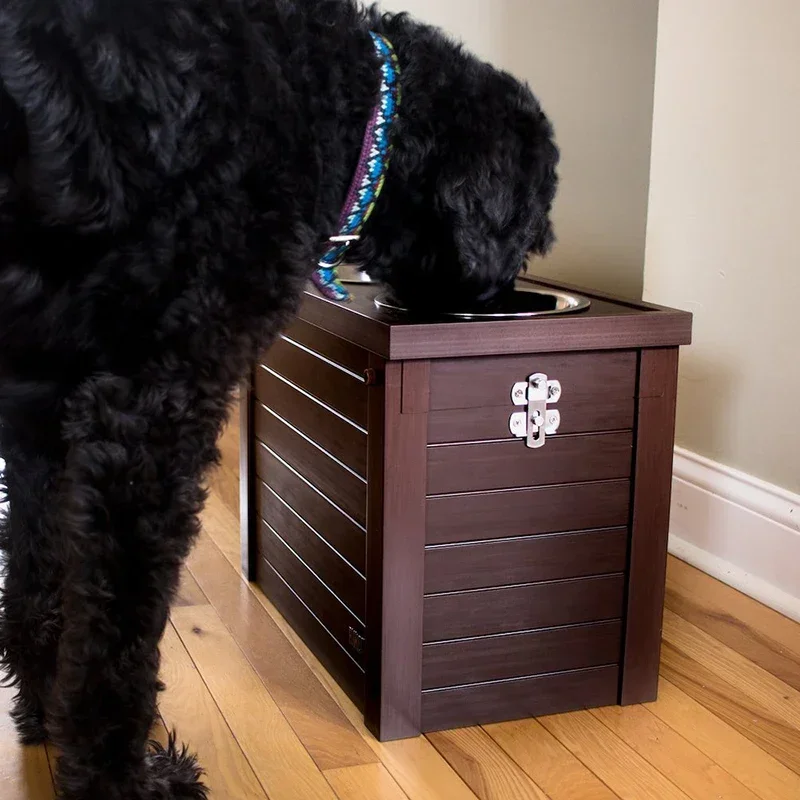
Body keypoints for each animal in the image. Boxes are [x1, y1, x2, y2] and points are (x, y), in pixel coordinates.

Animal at [0, 0, 560, 792]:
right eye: (530, 231)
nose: (506, 303)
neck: (347, 103)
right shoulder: (148, 418)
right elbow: (118, 639)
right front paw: (122, 780)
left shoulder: (43, 415)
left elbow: (37, 578)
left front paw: (45, 714)